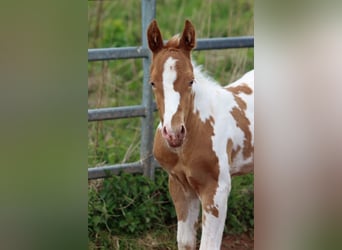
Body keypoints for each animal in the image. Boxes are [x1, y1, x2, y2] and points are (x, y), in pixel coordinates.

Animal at [147, 20, 254, 250]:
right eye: (152, 82)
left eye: (191, 80)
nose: (174, 134)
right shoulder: (180, 186)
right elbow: (185, 242)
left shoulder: (216, 189)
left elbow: (208, 245)